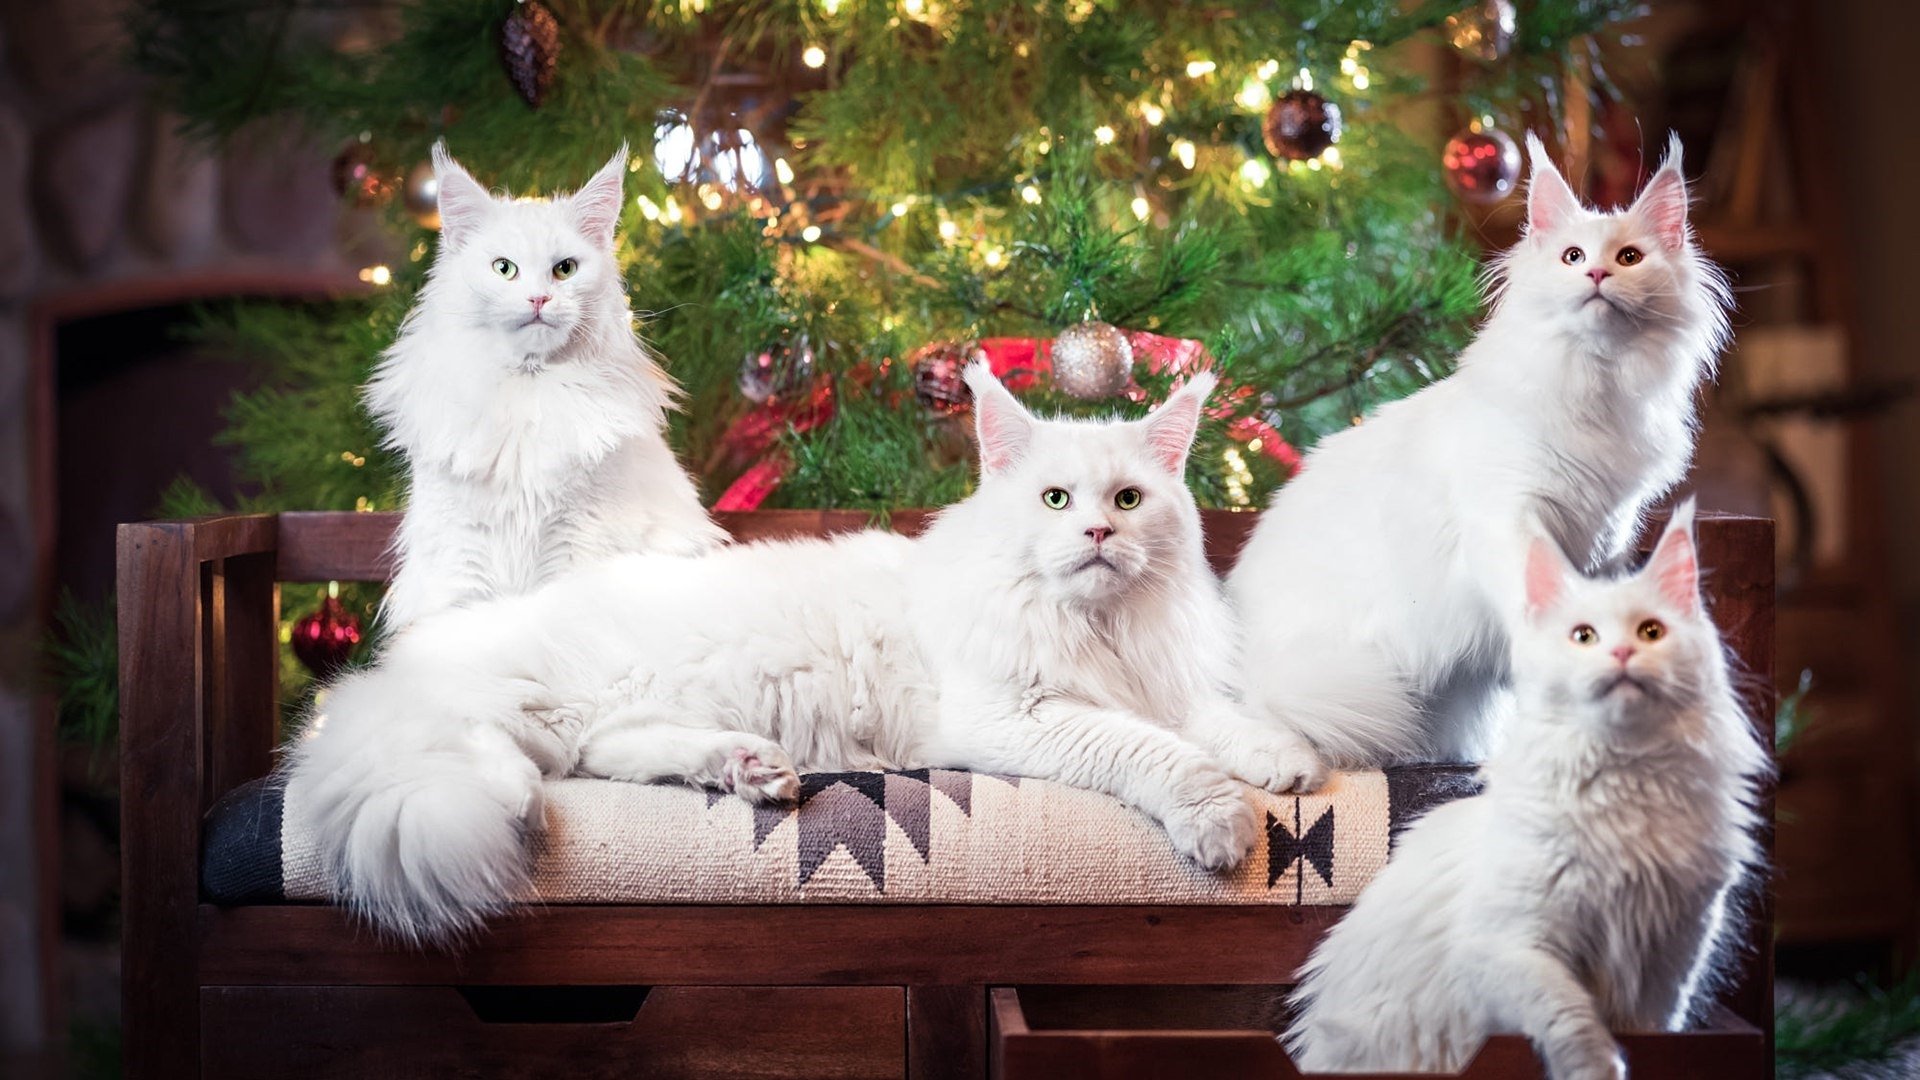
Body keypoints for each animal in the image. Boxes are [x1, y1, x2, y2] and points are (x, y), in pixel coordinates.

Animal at [291, 363, 1328, 941]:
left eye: (1128, 501)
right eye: (1056, 501)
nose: (1101, 538)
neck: (1099, 629)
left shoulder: (1163, 683)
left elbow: (1218, 722)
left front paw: (1289, 763)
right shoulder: (1018, 716)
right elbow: (1157, 753)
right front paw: (1221, 822)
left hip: (610, 713)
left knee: (612, 752)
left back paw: (750, 770)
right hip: (523, 701)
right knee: (492, 747)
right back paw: (522, 805)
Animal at [362, 144, 721, 630]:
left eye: (565, 270)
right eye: (504, 269)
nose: (538, 299)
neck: (528, 388)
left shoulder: (578, 541)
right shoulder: (463, 555)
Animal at [1228, 134, 1743, 764]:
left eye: (1629, 258)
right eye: (1573, 256)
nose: (1597, 273)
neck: (1593, 386)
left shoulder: (1608, 536)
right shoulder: (1511, 516)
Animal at [1290, 499, 1766, 1076]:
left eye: (1652, 632)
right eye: (1583, 636)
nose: (1623, 654)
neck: (1626, 779)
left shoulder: (1671, 958)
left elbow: (1653, 1030)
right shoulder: (1511, 948)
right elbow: (1569, 1016)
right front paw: (1600, 1066)